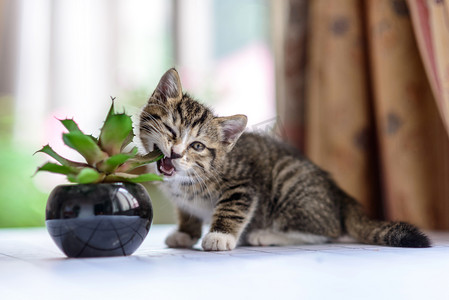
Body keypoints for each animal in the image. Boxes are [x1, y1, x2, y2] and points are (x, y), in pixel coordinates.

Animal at [138, 68, 428, 251]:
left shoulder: (243, 183)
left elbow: (232, 208)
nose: (176, 152)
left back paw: (264, 235)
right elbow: (187, 211)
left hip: (288, 182)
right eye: (171, 130)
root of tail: (338, 193)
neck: (185, 180)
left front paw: (220, 236)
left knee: (328, 233)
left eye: (197, 146)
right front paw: (186, 233)